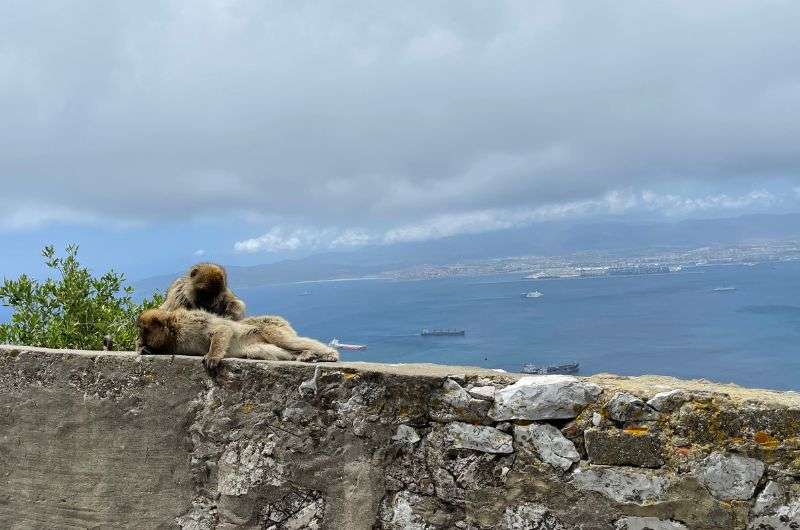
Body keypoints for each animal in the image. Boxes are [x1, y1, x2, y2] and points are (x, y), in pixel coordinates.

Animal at [138, 306, 338, 368]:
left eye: (144, 331)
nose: (140, 339)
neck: (174, 331)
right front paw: (144, 350)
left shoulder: (191, 324)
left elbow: (222, 329)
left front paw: (212, 356)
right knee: (260, 350)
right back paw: (302, 355)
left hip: (272, 325)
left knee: (286, 340)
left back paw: (329, 354)